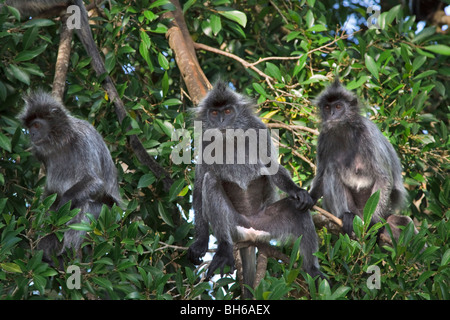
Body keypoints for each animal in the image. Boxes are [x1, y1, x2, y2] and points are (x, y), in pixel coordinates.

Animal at [187, 82, 324, 288]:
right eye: (214, 113)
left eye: (228, 111)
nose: (221, 121)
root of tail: (250, 233)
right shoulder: (204, 143)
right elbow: (198, 188)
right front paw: (201, 241)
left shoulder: (258, 129)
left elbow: (271, 167)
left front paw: (298, 191)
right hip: (235, 224)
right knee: (210, 180)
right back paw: (224, 250)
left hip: (265, 224)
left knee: (297, 209)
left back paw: (313, 271)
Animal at [310, 79, 414, 240]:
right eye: (327, 107)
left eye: (338, 106)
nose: (332, 114)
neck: (345, 132)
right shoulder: (324, 138)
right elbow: (321, 176)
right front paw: (307, 197)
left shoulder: (368, 135)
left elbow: (384, 179)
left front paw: (373, 224)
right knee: (331, 170)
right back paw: (346, 216)